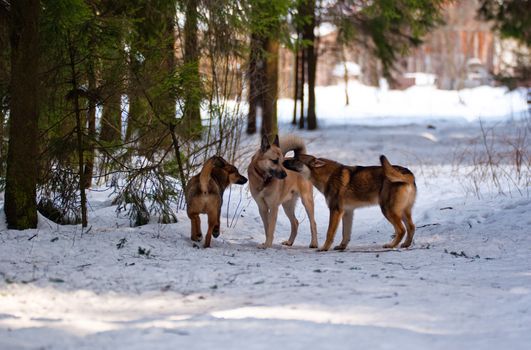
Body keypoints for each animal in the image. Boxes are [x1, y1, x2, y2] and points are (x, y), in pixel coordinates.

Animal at [284, 154, 418, 250]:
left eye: (296, 159)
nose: (283, 161)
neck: (328, 176)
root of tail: (409, 174)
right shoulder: (347, 212)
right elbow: (345, 233)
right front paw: (341, 246)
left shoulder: (335, 210)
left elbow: (330, 233)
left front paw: (324, 248)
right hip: (403, 212)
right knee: (411, 227)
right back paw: (406, 244)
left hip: (388, 210)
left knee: (401, 230)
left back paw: (391, 245)